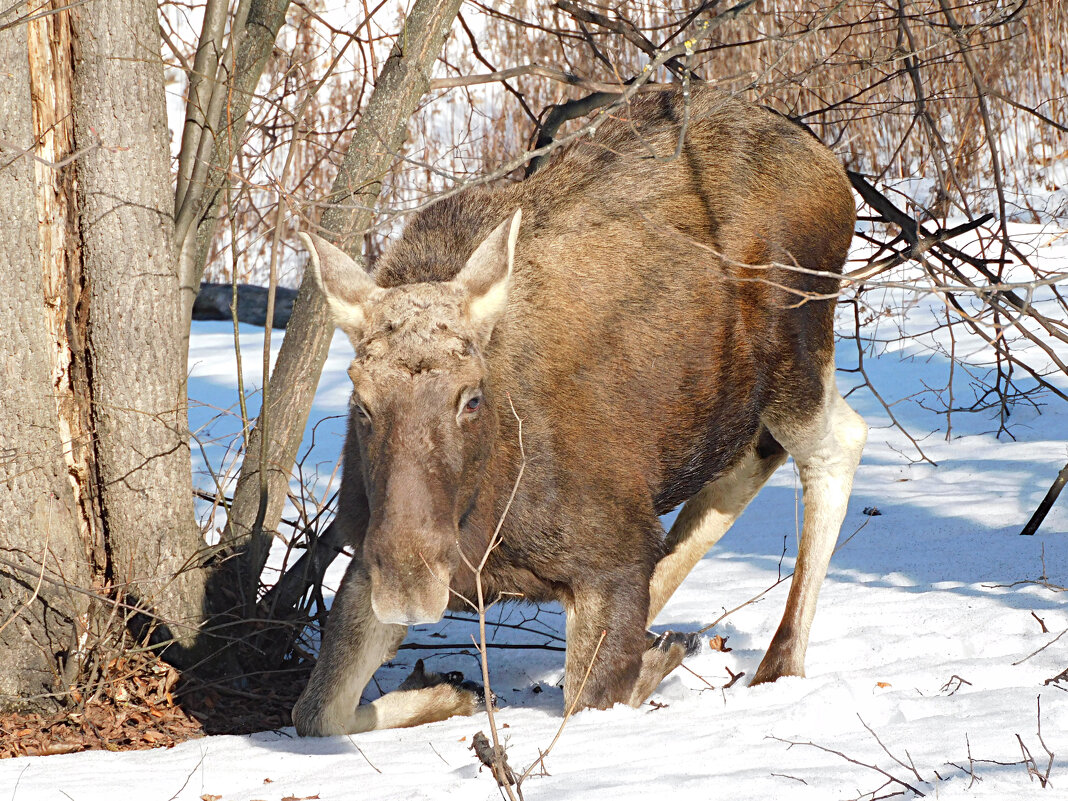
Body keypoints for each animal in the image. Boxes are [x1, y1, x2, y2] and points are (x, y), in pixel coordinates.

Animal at [292, 84, 867, 739]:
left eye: (472, 397)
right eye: (360, 401)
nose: (409, 583)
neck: (481, 522)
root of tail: (829, 161)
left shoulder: (608, 559)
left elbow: (586, 705)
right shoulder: (366, 562)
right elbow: (317, 711)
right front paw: (448, 697)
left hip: (796, 356)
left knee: (838, 441)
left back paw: (774, 663)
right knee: (749, 461)